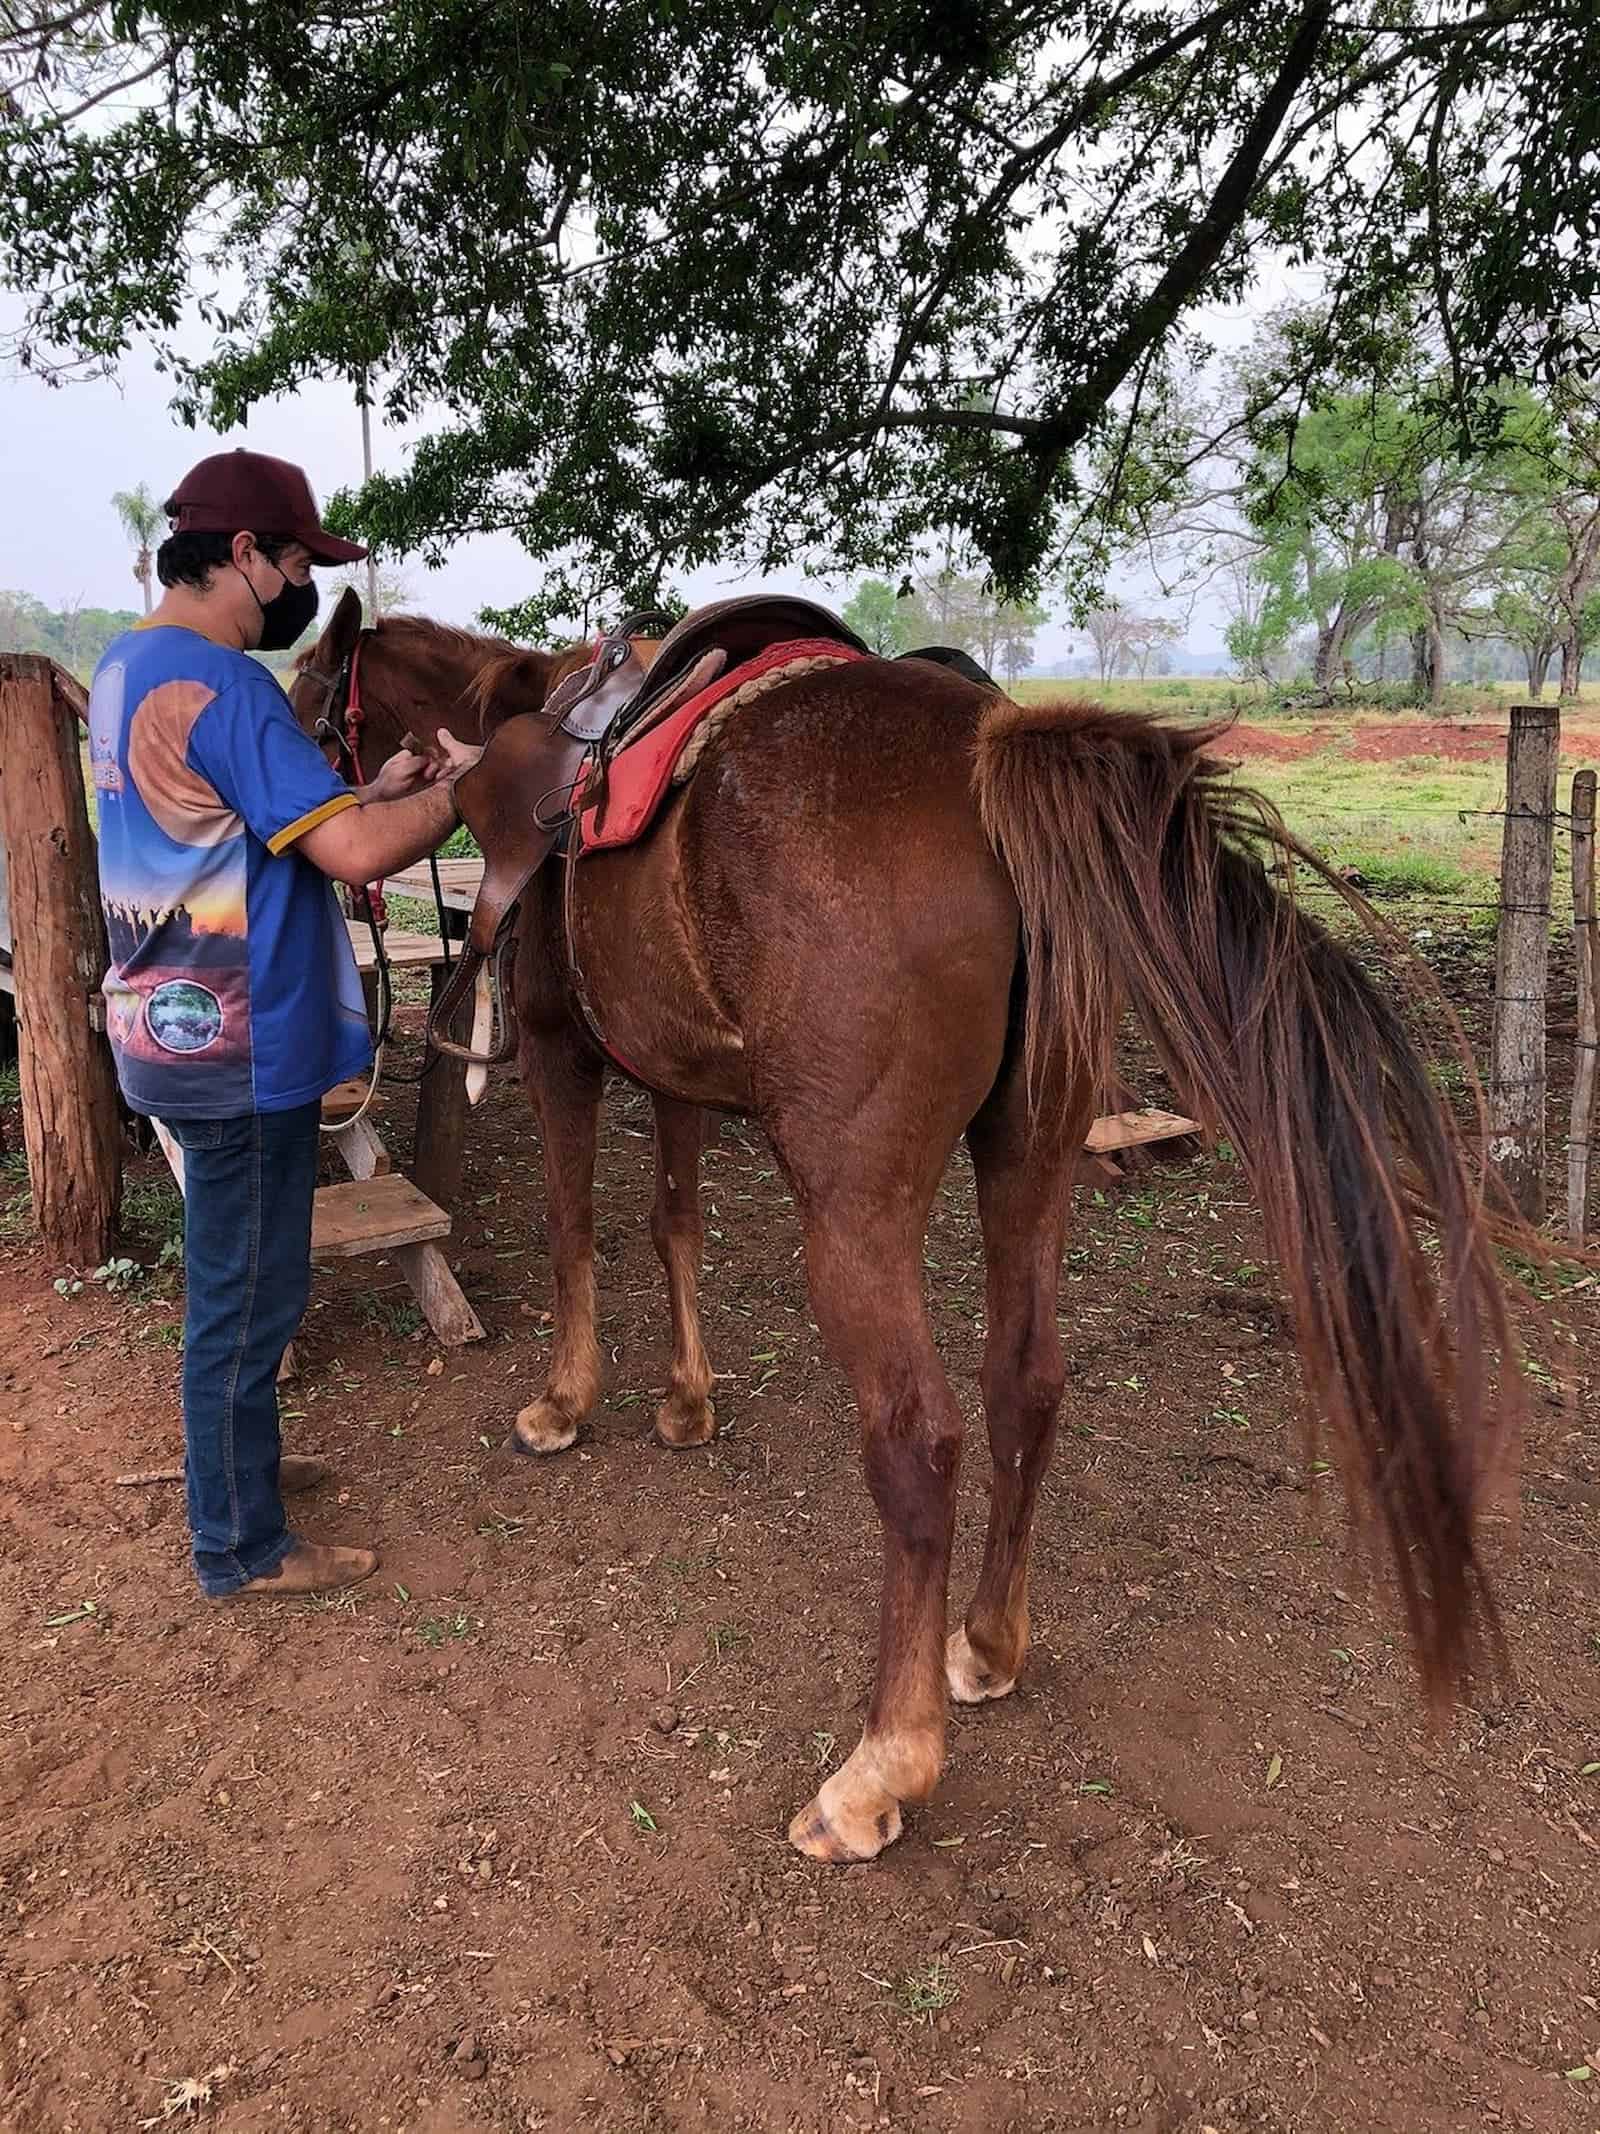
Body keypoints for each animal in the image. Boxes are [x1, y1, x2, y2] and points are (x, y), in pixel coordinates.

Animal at [292, 593, 1518, 1860]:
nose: (313, 828)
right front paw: (687, 1399)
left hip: (855, 1211)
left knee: (920, 1440)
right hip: (1032, 1154)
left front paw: (565, 1400)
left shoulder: (555, 1049)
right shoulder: (673, 1067)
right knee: (1025, 1385)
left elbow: (571, 1223)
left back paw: (883, 1763)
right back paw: (985, 1643)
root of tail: (988, 761)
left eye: (311, 696)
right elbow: (674, 1220)